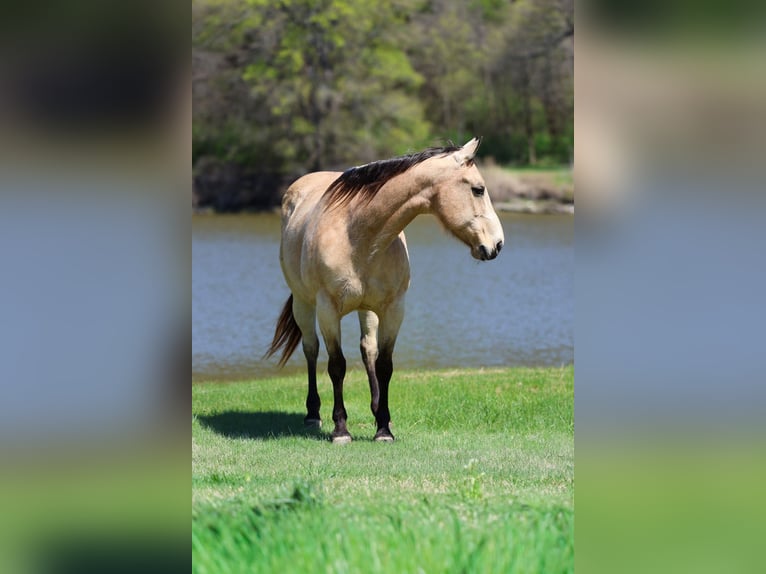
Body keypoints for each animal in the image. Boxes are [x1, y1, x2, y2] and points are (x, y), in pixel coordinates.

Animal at [266, 138, 504, 443]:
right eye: (478, 189)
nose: (497, 244)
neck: (357, 234)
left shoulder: (393, 309)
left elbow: (384, 365)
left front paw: (383, 428)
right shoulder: (328, 311)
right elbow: (336, 365)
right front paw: (341, 430)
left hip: (366, 310)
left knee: (368, 350)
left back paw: (375, 408)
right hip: (303, 304)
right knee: (311, 349)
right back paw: (312, 414)